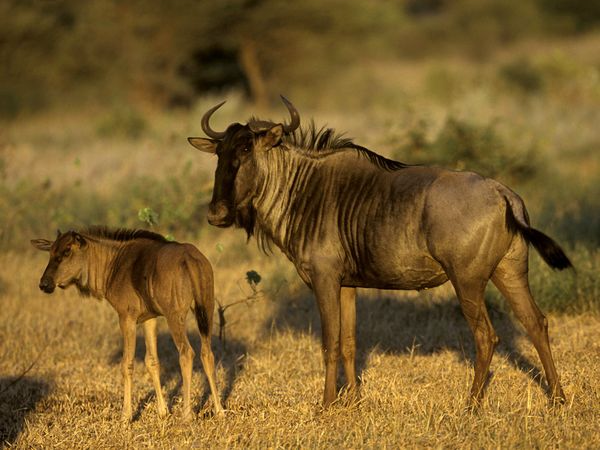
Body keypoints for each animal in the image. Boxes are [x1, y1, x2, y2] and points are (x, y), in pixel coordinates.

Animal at [31, 229, 223, 422]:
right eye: (50, 252)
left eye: (67, 251)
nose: (44, 284)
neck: (113, 263)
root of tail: (190, 258)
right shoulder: (149, 319)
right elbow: (152, 361)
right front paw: (162, 411)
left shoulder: (126, 318)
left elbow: (127, 364)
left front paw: (126, 416)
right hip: (206, 309)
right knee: (207, 353)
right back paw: (219, 410)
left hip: (175, 316)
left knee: (187, 353)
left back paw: (187, 415)